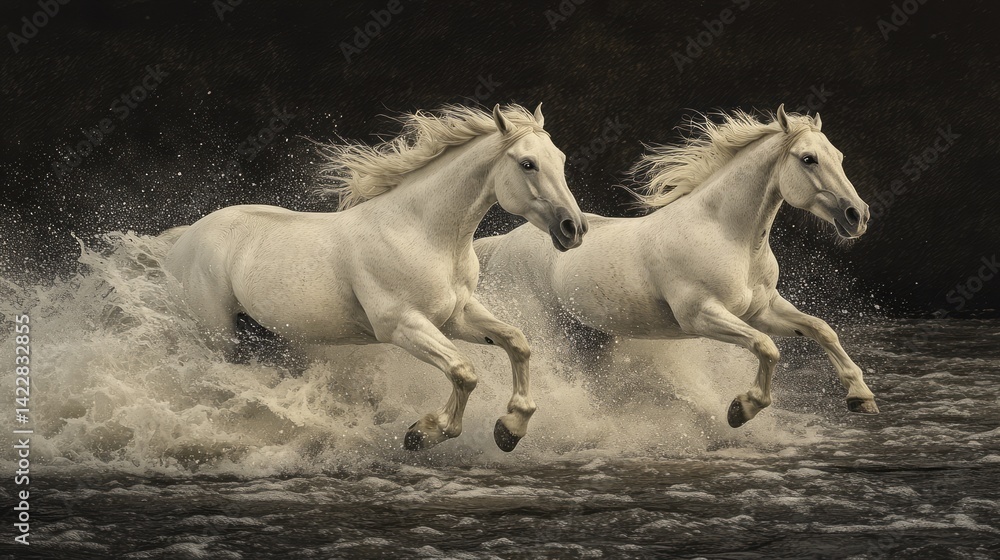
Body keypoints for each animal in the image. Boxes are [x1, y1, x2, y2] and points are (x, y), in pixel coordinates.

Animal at [161, 103, 588, 452]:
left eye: (561, 158)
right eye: (528, 163)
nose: (574, 228)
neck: (422, 233)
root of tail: (185, 238)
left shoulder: (455, 316)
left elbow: (517, 342)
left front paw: (510, 429)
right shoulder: (401, 325)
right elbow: (463, 372)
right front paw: (424, 433)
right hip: (218, 334)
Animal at [474, 105, 878, 428]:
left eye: (838, 156)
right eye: (808, 158)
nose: (857, 215)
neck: (727, 235)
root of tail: (502, 243)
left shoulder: (761, 310)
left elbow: (822, 330)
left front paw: (861, 397)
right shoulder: (701, 316)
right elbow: (767, 348)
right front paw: (741, 409)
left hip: (591, 336)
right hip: (542, 325)